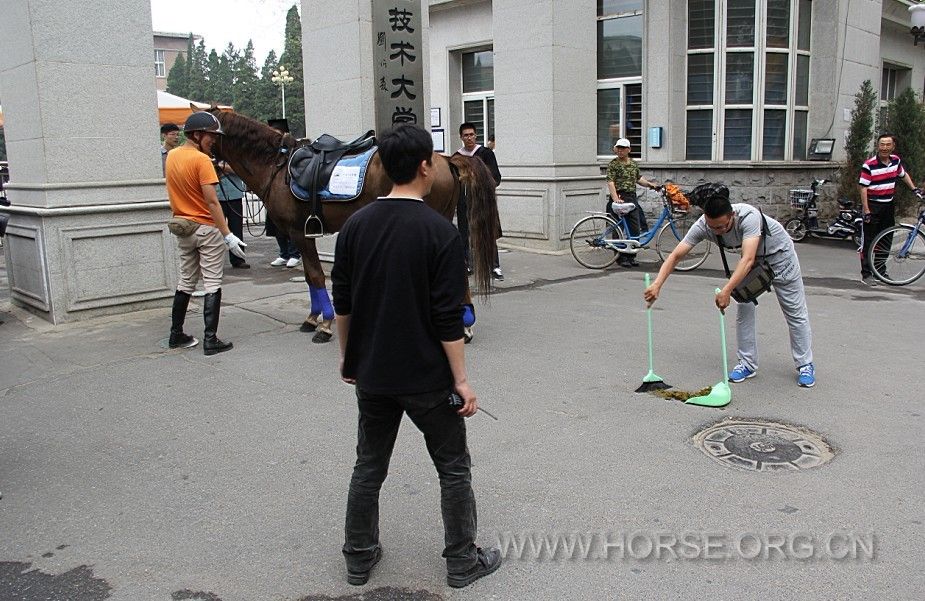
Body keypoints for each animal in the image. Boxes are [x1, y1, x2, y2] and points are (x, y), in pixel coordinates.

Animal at [209, 109, 498, 342]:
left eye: (203, 132)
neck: (277, 168)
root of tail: (446, 159)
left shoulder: (298, 232)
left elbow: (315, 275)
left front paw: (325, 324)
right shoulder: (302, 234)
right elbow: (309, 276)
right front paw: (312, 318)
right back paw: (465, 323)